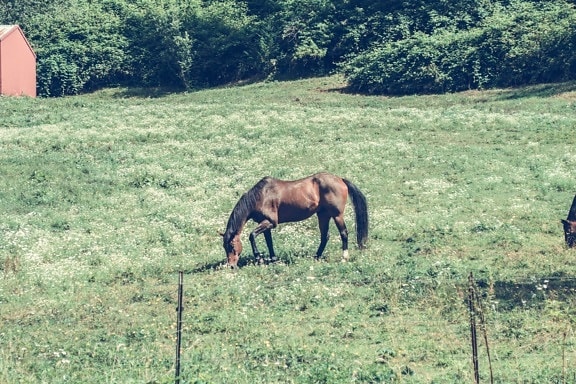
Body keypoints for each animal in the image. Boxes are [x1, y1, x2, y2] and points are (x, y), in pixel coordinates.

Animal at [220, 173, 368, 268]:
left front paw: (258, 258)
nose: (231, 266)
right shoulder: (266, 224)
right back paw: (316, 256)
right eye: (224, 247)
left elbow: (252, 235)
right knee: (325, 236)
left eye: (231, 246)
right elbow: (269, 242)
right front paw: (273, 259)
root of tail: (340, 180)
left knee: (343, 233)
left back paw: (344, 257)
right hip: (323, 215)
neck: (261, 195)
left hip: (337, 215)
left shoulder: (270, 222)